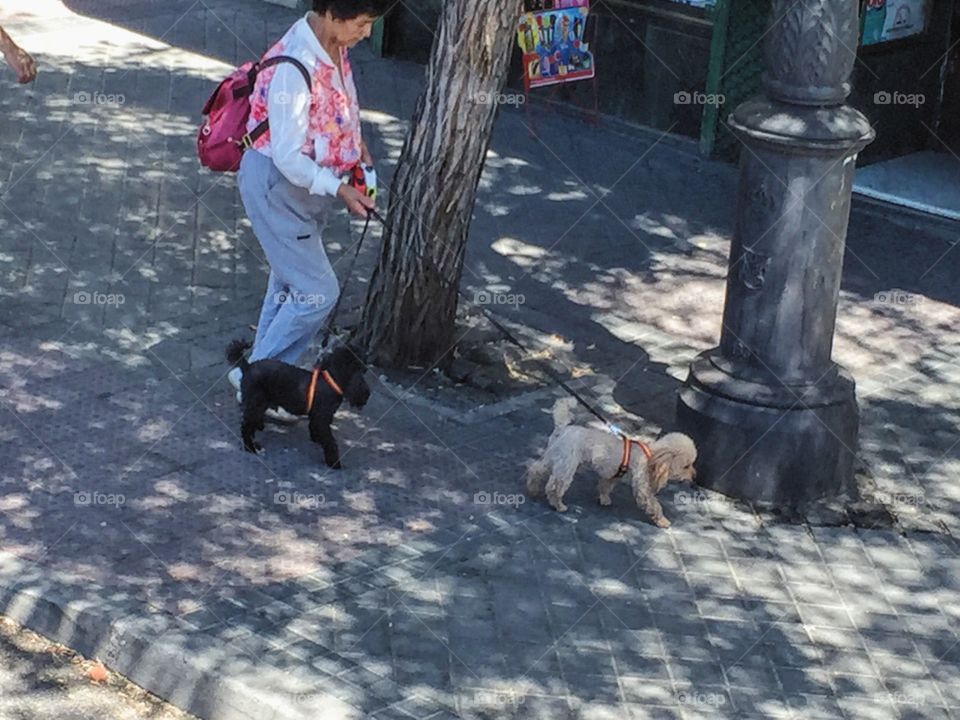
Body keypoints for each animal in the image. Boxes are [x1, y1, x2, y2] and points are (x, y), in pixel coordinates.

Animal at [225, 338, 372, 466]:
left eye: (364, 370)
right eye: (357, 369)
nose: (366, 393)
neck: (331, 381)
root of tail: (248, 367)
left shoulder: (318, 418)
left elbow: (316, 431)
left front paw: (316, 439)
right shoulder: (322, 419)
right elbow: (330, 442)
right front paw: (334, 462)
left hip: (259, 403)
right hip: (256, 403)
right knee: (246, 427)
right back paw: (250, 447)